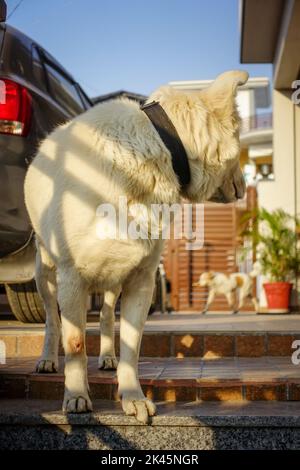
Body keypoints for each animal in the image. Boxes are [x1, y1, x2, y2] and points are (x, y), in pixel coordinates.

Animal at [24, 71, 248, 424]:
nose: (245, 186)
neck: (158, 145)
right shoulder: (71, 279)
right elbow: (75, 343)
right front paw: (76, 396)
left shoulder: (141, 281)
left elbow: (131, 347)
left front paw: (133, 397)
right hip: (44, 274)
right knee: (51, 320)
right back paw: (48, 359)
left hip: (114, 279)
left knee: (104, 317)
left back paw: (106, 357)